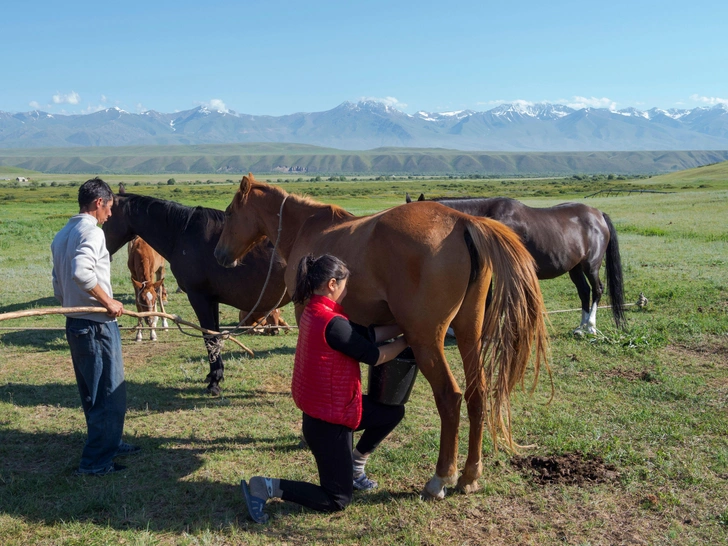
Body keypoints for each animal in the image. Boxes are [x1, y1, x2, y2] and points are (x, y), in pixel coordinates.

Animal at [103, 190, 290, 392]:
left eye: (107, 218)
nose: (105, 250)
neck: (183, 233)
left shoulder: (199, 297)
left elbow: (209, 337)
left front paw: (214, 381)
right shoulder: (212, 299)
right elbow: (214, 335)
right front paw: (215, 374)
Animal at [213, 174, 548, 498]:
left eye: (229, 212)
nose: (220, 255)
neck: (308, 228)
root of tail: (463, 222)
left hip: (427, 340)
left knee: (450, 398)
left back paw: (441, 478)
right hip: (469, 334)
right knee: (476, 395)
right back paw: (469, 475)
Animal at [404, 193, 624, 334]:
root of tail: (598, 215)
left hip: (590, 265)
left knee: (597, 289)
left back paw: (591, 327)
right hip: (575, 268)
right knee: (584, 291)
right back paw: (580, 327)